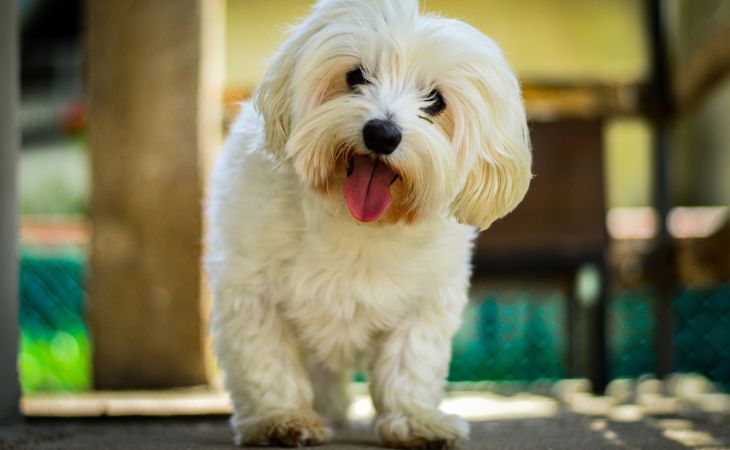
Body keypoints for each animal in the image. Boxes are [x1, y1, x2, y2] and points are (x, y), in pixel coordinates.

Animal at [205, 0, 528, 446]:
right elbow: (266, 360)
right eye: (356, 76)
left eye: (435, 100)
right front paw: (280, 418)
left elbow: (411, 361)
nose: (382, 133)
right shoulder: (250, 290)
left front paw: (414, 419)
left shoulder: (425, 299)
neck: (356, 224)